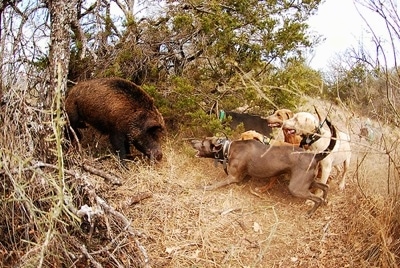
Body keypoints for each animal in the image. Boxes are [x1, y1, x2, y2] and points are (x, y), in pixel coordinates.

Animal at [191, 119, 338, 216]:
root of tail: (315, 156)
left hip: (296, 187)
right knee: (325, 186)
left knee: (317, 198)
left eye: (203, 143)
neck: (228, 148)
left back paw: (310, 212)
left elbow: (217, 184)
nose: (192, 141)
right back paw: (325, 201)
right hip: (306, 180)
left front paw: (206, 187)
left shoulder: (232, 177)